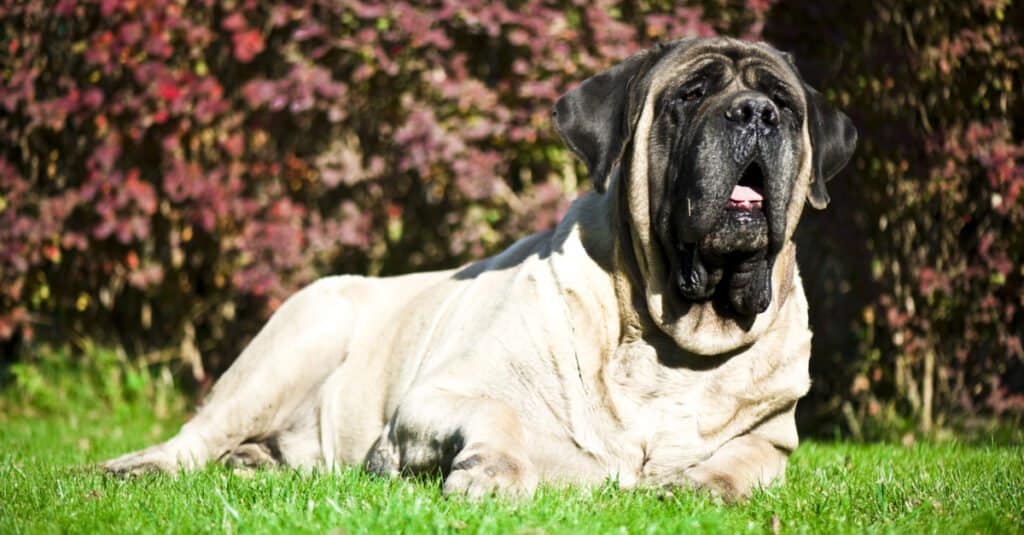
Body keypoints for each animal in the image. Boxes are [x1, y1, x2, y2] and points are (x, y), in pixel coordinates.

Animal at [101, 37, 856, 500]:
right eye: (689, 95)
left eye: (784, 104)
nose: (754, 112)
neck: (667, 337)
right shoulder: (437, 395)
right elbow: (500, 415)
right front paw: (490, 472)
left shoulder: (774, 439)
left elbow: (746, 460)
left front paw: (705, 485)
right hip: (297, 338)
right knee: (197, 434)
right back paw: (140, 465)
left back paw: (255, 462)